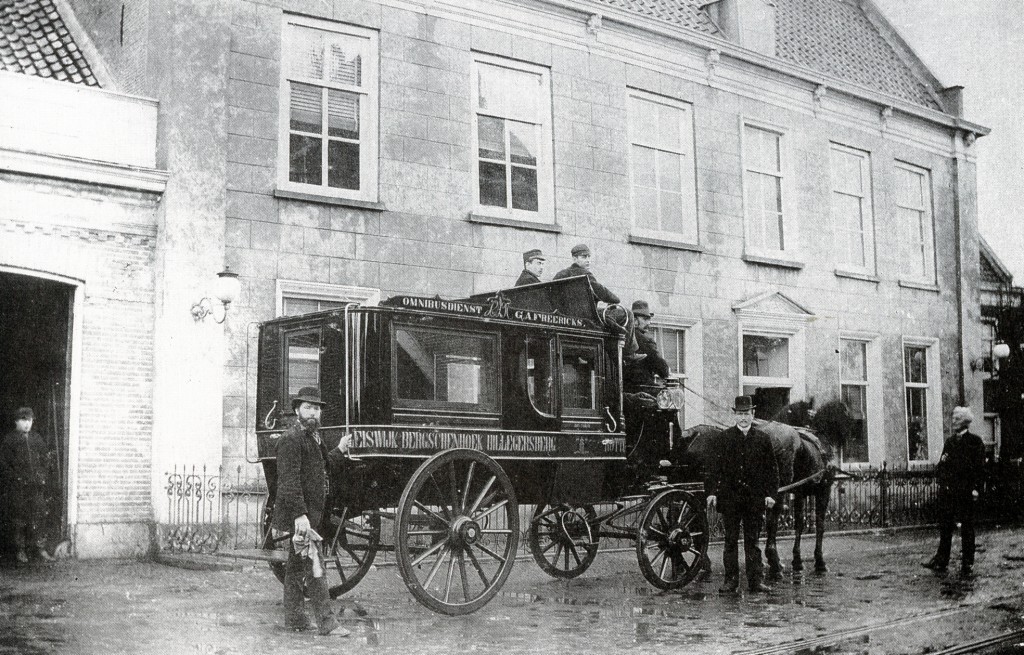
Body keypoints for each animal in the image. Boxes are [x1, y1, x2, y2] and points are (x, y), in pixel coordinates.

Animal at [675, 399, 851, 577]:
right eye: (845, 412)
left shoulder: (799, 492)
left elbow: (798, 524)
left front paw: (795, 560)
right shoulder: (823, 490)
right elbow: (819, 525)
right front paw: (819, 562)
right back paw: (774, 563)